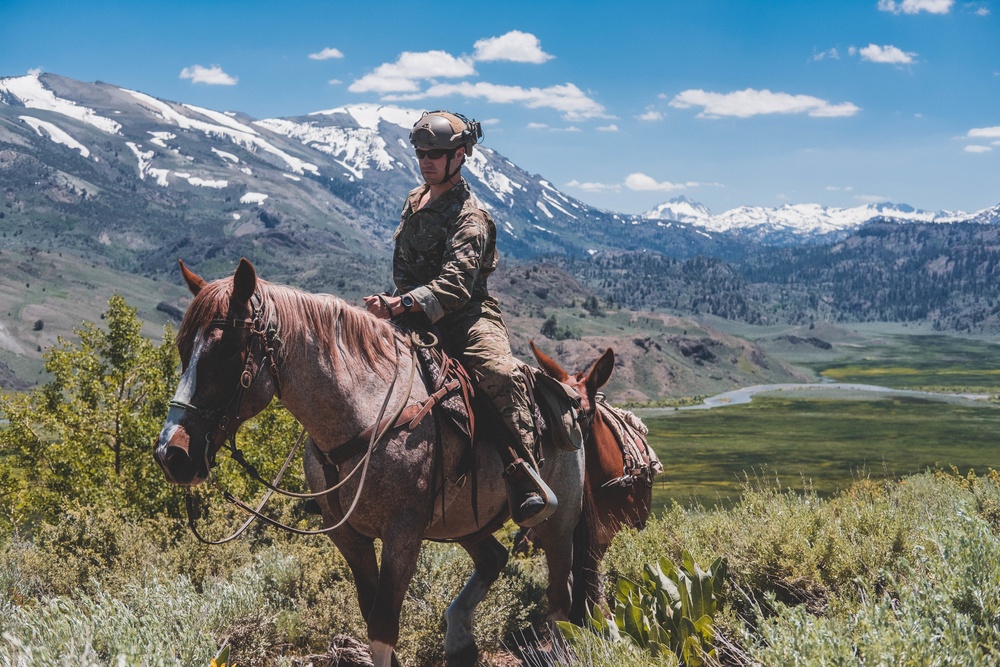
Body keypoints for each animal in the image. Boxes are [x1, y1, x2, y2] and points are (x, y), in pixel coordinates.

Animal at [152, 260, 596, 667]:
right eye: (183, 348)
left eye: (227, 350)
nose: (171, 454)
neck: (364, 409)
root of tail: (565, 396)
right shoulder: (347, 534)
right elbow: (370, 613)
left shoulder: (402, 533)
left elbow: (384, 624)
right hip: (464, 522)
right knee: (493, 558)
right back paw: (459, 642)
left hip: (558, 522)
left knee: (560, 593)